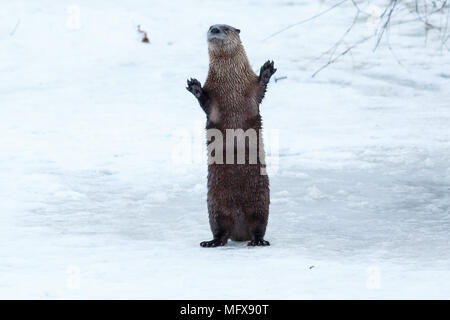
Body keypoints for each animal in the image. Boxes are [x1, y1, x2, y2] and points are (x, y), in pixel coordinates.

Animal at [185, 24, 276, 248]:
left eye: (225, 28)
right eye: (211, 26)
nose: (215, 29)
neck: (230, 86)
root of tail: (239, 232)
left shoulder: (250, 88)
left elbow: (261, 88)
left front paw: (267, 70)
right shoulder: (213, 98)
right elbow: (205, 101)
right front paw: (195, 87)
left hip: (261, 204)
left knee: (259, 227)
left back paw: (258, 241)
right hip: (214, 207)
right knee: (220, 230)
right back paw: (211, 242)